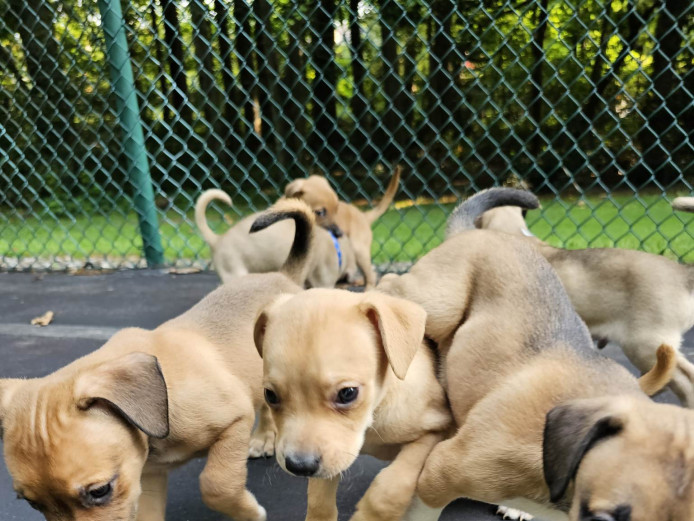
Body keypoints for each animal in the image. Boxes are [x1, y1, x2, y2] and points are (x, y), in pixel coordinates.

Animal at [0, 198, 318, 520]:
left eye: (99, 491)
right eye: (33, 503)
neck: (161, 402)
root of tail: (283, 275)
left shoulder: (234, 422)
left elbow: (216, 483)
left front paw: (248, 511)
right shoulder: (148, 474)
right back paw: (264, 436)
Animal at [253, 288, 454, 520]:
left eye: (347, 393)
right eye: (270, 395)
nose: (300, 466)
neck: (373, 417)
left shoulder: (437, 428)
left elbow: (391, 486)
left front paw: (368, 515)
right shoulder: (331, 456)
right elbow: (319, 499)